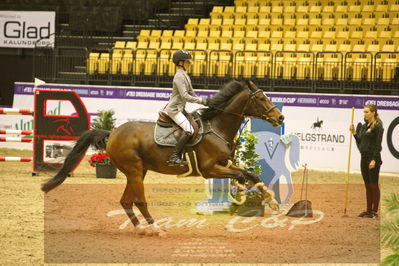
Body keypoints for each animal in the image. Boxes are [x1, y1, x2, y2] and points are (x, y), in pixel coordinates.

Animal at [41, 79, 284, 237]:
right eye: (261, 98)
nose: (280, 117)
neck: (217, 127)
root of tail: (113, 132)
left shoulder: (225, 164)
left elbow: (251, 174)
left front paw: (271, 201)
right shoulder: (211, 169)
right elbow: (241, 176)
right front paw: (245, 194)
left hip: (138, 172)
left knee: (126, 200)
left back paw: (141, 229)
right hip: (135, 171)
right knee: (139, 200)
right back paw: (156, 229)